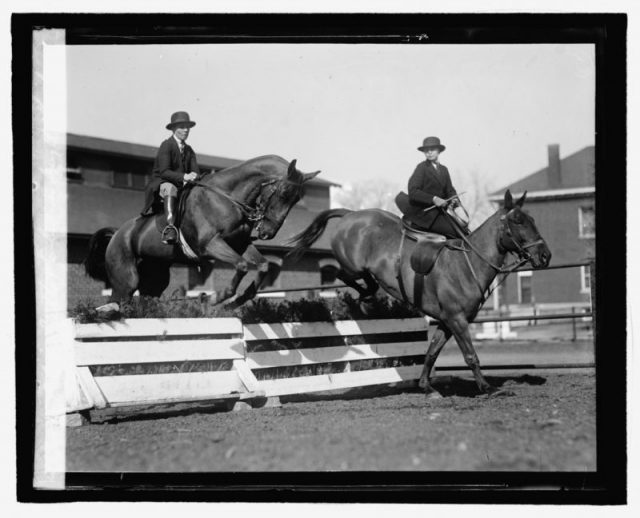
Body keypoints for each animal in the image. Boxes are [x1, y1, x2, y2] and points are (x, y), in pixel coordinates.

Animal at [86, 154, 320, 308]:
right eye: (284, 192)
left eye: (297, 199)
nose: (268, 233)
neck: (227, 197)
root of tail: (117, 234)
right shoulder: (210, 245)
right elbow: (242, 265)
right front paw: (217, 298)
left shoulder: (240, 244)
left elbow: (262, 265)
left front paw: (239, 300)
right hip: (126, 280)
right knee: (117, 300)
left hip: (155, 278)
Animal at [288, 191, 552, 398]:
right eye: (518, 221)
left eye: (532, 219)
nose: (545, 256)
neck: (468, 264)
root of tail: (350, 215)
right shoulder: (457, 319)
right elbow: (470, 355)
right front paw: (487, 388)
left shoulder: (447, 321)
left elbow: (431, 352)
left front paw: (426, 387)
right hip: (353, 266)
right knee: (344, 275)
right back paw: (367, 300)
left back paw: (367, 300)